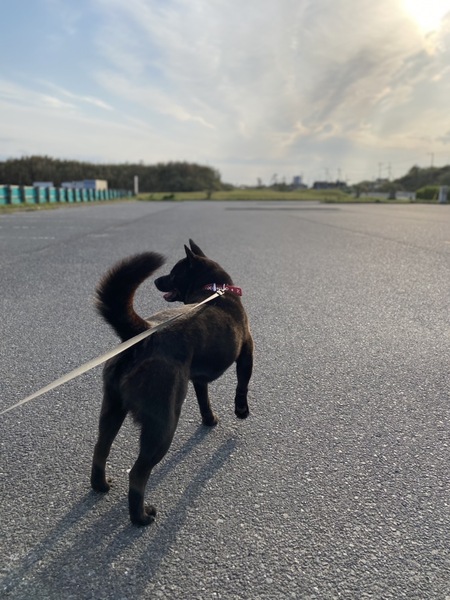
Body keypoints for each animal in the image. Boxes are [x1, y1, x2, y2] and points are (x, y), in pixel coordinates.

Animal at [91, 240, 253, 526]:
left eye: (174, 273)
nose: (157, 280)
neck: (214, 290)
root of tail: (142, 333)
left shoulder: (198, 378)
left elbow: (204, 400)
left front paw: (209, 420)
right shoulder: (247, 349)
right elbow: (242, 386)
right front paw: (241, 411)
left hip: (112, 408)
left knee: (101, 448)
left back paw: (101, 486)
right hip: (163, 424)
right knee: (137, 473)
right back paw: (141, 517)